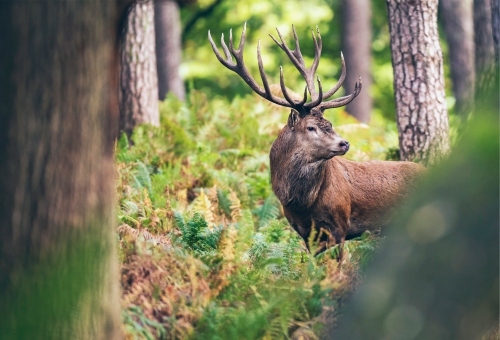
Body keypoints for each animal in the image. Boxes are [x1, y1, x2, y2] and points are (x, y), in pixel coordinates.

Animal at [209, 23, 424, 258]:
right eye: (311, 127)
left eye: (329, 123)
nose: (344, 143)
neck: (302, 204)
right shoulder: (304, 231)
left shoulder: (340, 225)